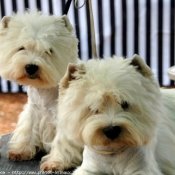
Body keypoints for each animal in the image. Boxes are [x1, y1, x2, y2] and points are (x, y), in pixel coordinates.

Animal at [0, 10, 78, 161]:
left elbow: (61, 141)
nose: (31, 67)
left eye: (49, 50)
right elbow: (28, 129)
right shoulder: (33, 111)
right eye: (21, 48)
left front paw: (55, 162)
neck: (45, 89)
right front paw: (21, 151)